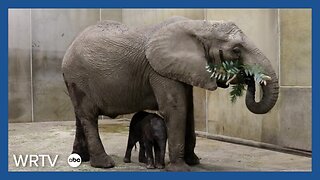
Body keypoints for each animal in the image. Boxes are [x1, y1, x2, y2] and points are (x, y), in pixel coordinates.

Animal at [61, 16, 278, 171]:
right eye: (236, 50)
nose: (249, 79)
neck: (200, 26)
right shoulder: (159, 70)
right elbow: (175, 109)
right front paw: (181, 169)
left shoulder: (182, 68)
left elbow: (189, 111)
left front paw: (194, 162)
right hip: (79, 76)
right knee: (89, 116)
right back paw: (104, 164)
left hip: (75, 82)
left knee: (80, 115)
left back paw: (80, 158)